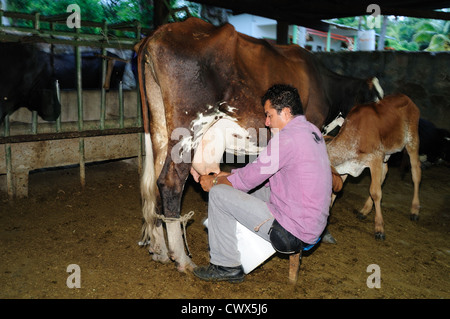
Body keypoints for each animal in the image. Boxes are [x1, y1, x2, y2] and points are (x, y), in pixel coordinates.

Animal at [134, 18, 384, 272]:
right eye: (375, 101)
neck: (326, 87)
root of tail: (161, 31)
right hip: (189, 124)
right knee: (170, 181)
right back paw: (182, 259)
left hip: (160, 128)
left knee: (155, 182)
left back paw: (159, 250)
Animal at [326, 94, 422, 241]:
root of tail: (407, 98)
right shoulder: (348, 166)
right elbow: (336, 190)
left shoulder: (375, 158)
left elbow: (375, 192)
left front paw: (379, 229)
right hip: (386, 154)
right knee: (385, 173)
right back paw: (364, 210)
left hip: (412, 141)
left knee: (416, 171)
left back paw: (415, 210)